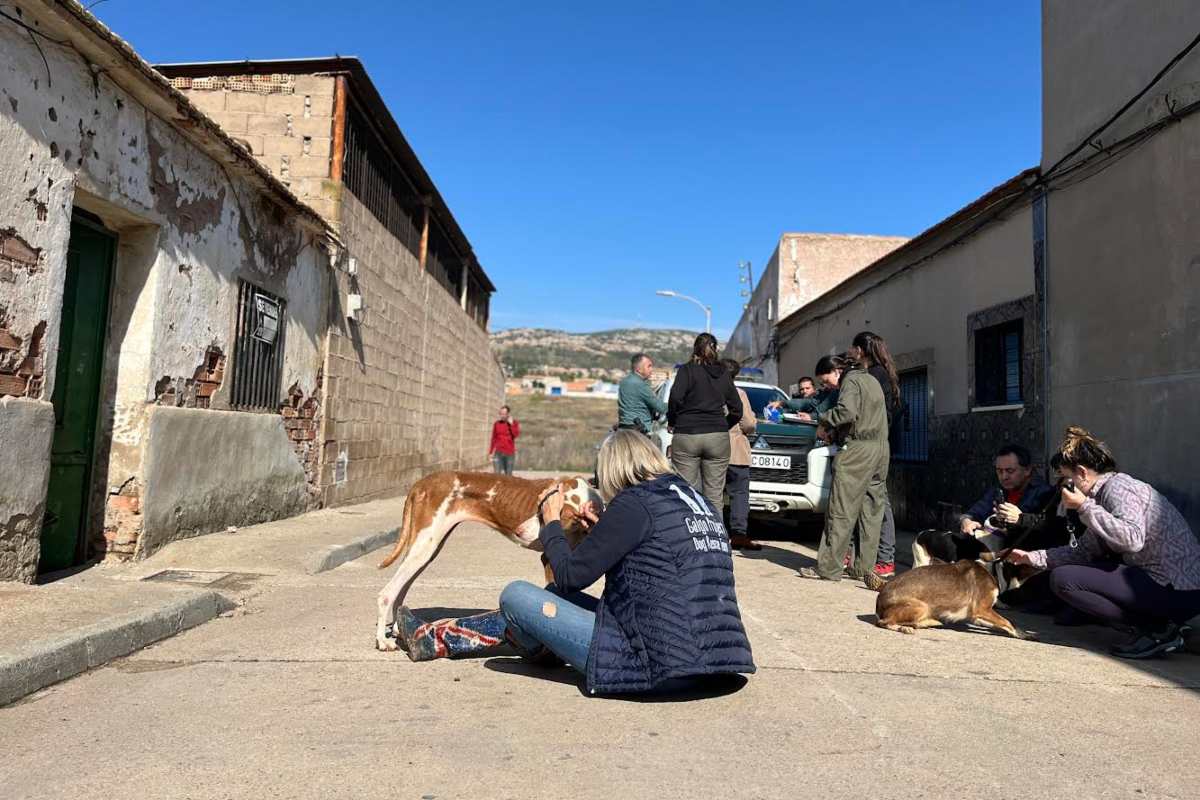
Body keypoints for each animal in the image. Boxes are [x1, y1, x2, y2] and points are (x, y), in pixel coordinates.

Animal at [374, 474, 600, 652]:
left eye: (542, 514)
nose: (519, 531)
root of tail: (421, 482)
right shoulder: (549, 560)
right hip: (425, 546)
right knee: (387, 593)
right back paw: (383, 640)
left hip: (427, 550)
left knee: (401, 589)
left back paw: (399, 629)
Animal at [868, 554, 1027, 642]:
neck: (993, 572)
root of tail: (878, 601)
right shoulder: (982, 610)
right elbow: (1007, 621)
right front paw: (1019, 634)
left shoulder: (976, 616)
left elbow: (1003, 623)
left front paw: (1022, 633)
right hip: (921, 606)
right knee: (884, 622)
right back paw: (904, 628)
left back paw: (927, 623)